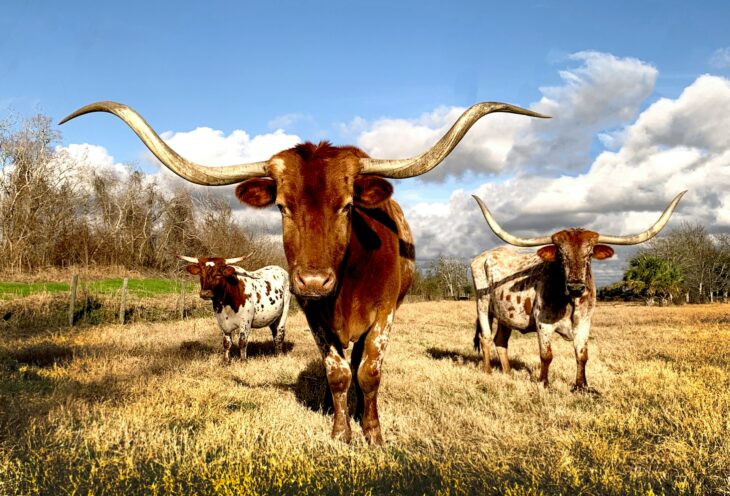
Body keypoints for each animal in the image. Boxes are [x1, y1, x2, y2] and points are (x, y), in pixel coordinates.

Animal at [60, 100, 548, 444]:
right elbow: (337, 373)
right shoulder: (315, 317)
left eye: (347, 205)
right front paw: (340, 432)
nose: (313, 282)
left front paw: (372, 433)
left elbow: (369, 372)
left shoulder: (384, 314)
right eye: (281, 206)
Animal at [470, 192, 685, 392]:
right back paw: (488, 371)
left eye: (589, 255)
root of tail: (484, 256)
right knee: (486, 337)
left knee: (500, 341)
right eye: (560, 255)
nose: (576, 287)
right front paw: (543, 383)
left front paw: (582, 386)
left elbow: (582, 355)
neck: (569, 300)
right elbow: (546, 355)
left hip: (505, 316)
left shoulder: (584, 323)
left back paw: (507, 373)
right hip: (483, 304)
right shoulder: (543, 324)